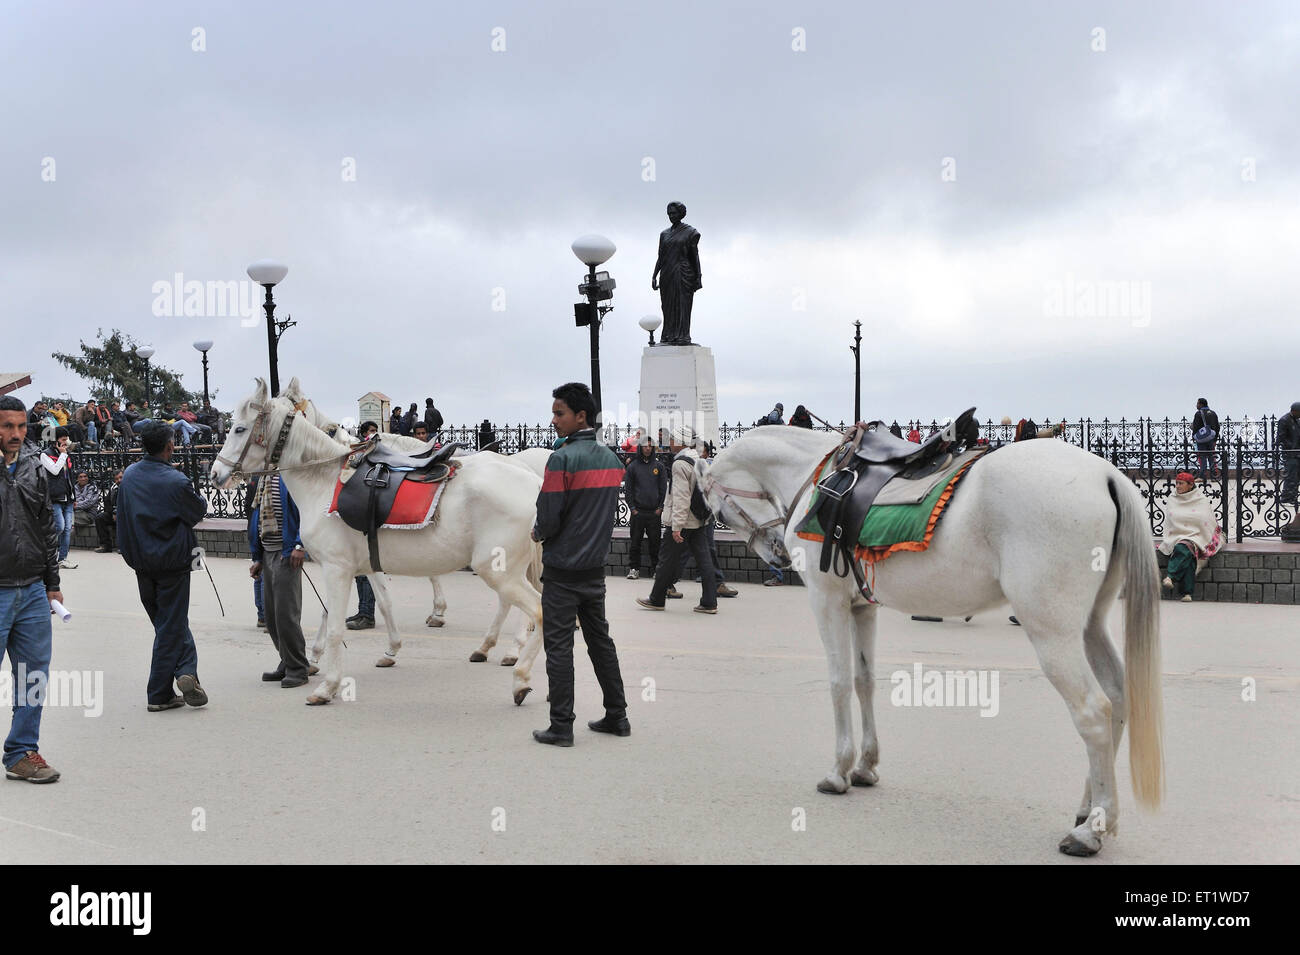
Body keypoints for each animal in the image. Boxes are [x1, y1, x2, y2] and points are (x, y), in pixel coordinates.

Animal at [211, 384, 543, 706]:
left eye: (239, 429)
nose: (215, 474)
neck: (323, 480)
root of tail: (533, 481)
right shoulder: (362, 565)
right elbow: (373, 604)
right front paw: (387, 650)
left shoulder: (336, 568)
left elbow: (334, 625)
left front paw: (328, 684)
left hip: (499, 570)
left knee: (536, 611)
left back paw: (519, 673)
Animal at [707, 428, 1164, 857]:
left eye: (715, 509)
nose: (777, 554)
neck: (819, 476)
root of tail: (1105, 473)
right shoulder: (861, 607)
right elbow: (863, 681)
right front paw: (866, 765)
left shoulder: (827, 600)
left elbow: (838, 684)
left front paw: (839, 770)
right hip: (1089, 625)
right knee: (1117, 697)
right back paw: (1091, 809)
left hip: (1052, 631)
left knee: (1093, 711)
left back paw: (1092, 830)